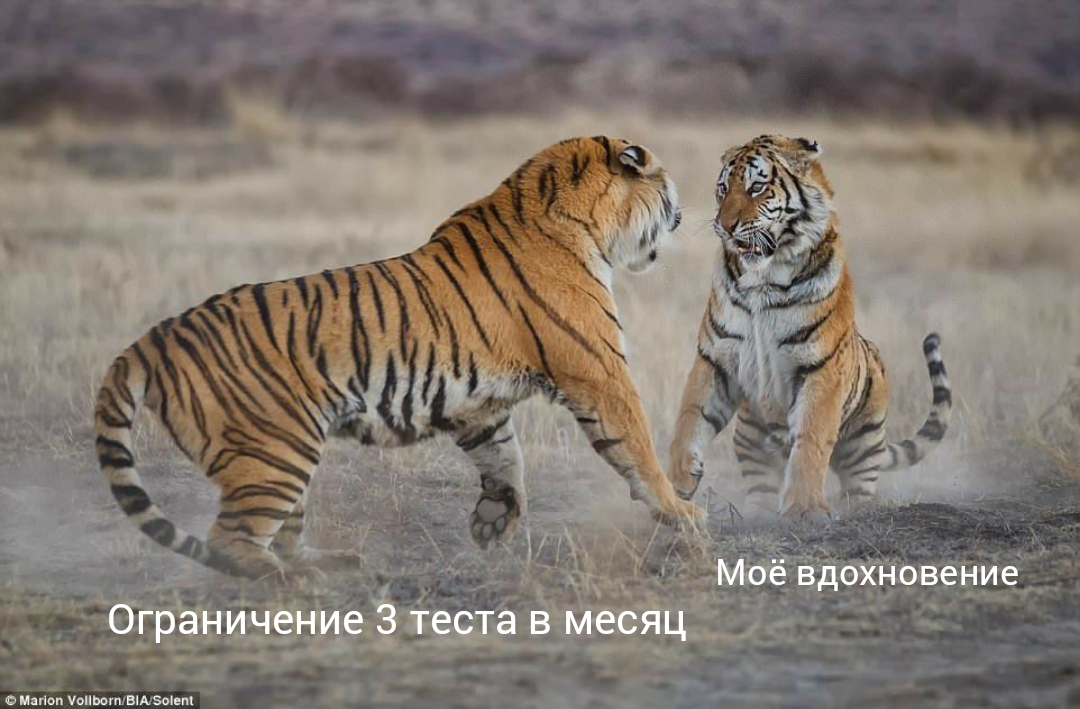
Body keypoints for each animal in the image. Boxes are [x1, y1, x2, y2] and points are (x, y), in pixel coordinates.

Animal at [94, 136, 703, 580]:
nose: (682, 213)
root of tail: (154, 337)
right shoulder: (598, 371)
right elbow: (636, 445)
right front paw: (681, 512)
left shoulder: (479, 405)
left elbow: (505, 459)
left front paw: (494, 520)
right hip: (273, 452)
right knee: (229, 540)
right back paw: (287, 582)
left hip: (279, 458)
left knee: (279, 532)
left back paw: (332, 564)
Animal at [667, 134, 952, 519]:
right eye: (723, 189)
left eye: (757, 187)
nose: (724, 226)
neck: (763, 280)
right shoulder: (715, 357)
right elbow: (689, 416)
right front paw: (678, 481)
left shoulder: (821, 366)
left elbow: (811, 439)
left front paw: (805, 508)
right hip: (750, 438)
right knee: (761, 486)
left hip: (863, 443)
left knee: (859, 488)